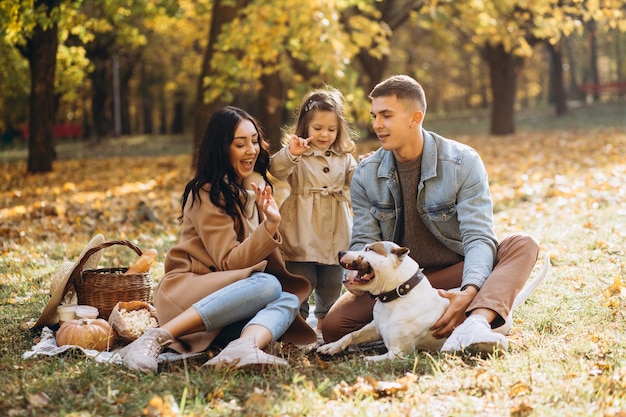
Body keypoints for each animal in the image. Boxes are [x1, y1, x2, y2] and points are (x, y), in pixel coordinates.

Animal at [316, 240, 544, 360]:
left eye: (369, 249)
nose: (340, 252)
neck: (397, 296)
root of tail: (509, 309)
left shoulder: (399, 353)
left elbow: (375, 359)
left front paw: (365, 359)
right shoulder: (373, 327)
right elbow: (351, 335)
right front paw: (331, 347)